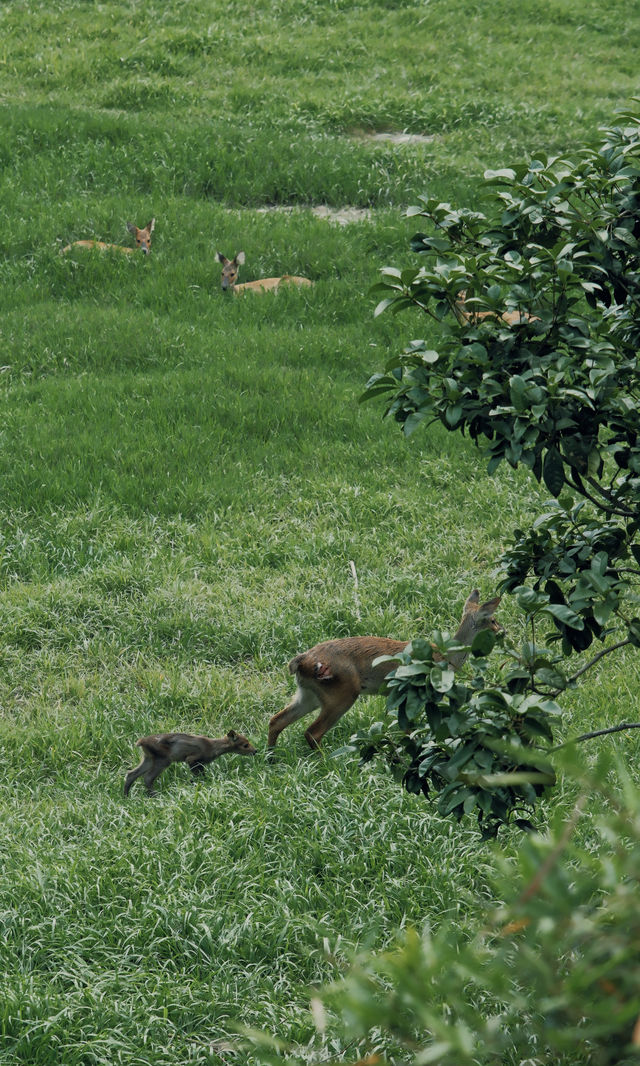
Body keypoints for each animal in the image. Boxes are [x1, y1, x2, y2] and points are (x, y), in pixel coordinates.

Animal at [123, 729, 256, 797]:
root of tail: (141, 742)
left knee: (131, 774)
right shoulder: (191, 759)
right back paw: (155, 796)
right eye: (245, 745)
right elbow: (198, 776)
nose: (255, 751)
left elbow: (202, 776)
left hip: (149, 758)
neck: (213, 748)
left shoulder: (200, 763)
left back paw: (126, 796)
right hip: (163, 759)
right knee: (148, 777)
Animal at [267, 592, 503, 750]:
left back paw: (271, 757)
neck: (446, 658)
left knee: (276, 720)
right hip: (341, 693)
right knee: (312, 732)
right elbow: (410, 726)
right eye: (492, 619)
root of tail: (301, 661)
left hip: (309, 694)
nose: (503, 630)